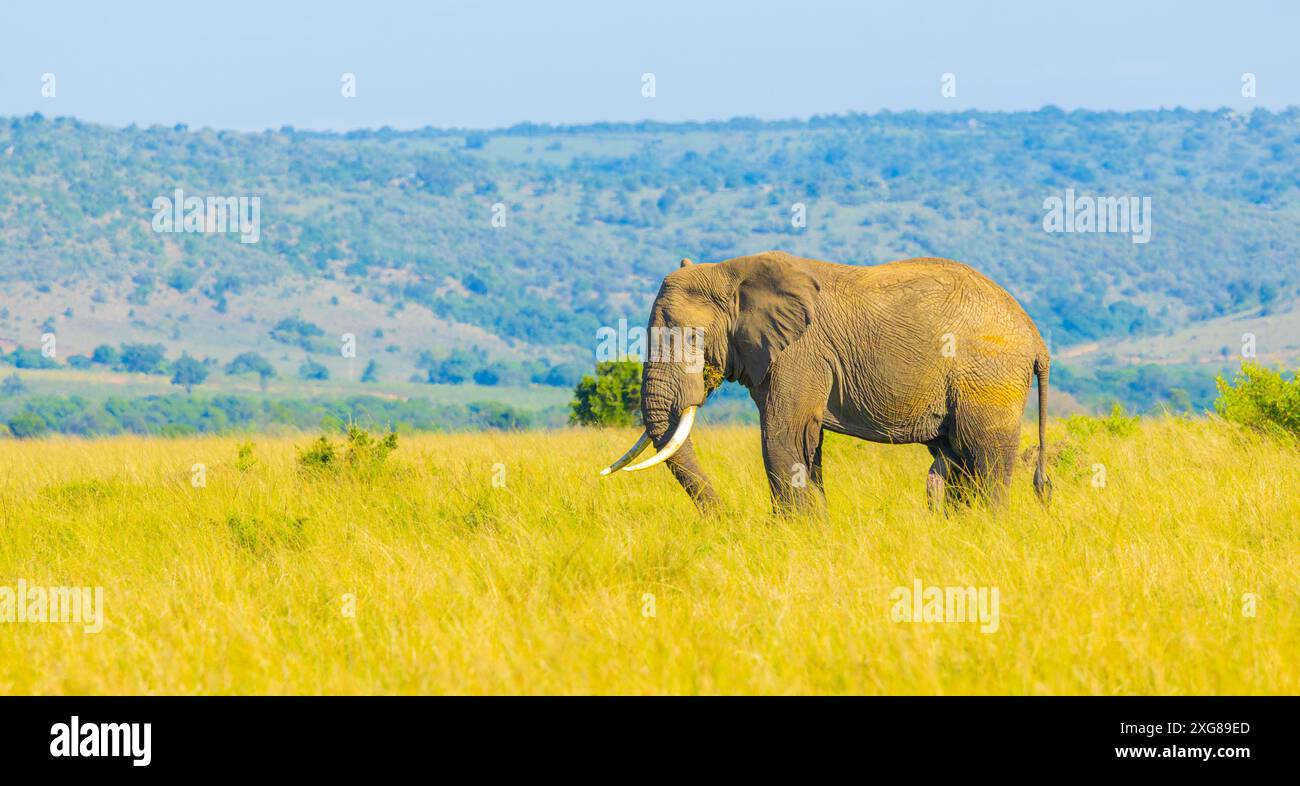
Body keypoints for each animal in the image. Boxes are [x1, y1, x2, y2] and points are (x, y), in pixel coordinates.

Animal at [599, 251, 1051, 515]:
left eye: (692, 339)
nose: (728, 520)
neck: (730, 272)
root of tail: (1035, 336)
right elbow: (806, 443)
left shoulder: (800, 353)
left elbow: (782, 437)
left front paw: (793, 535)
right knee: (958, 459)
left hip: (989, 377)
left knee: (984, 456)